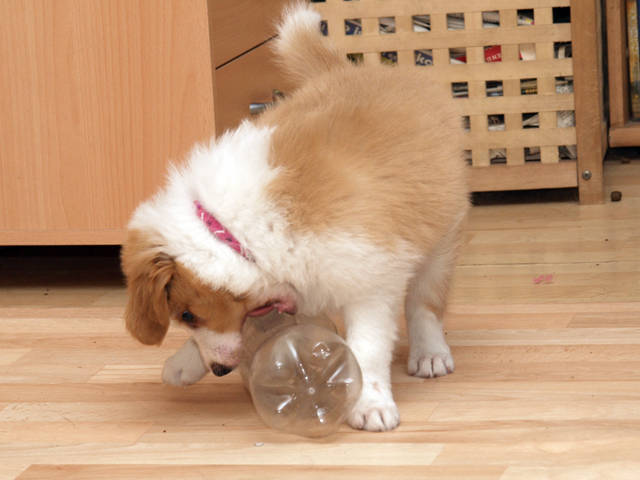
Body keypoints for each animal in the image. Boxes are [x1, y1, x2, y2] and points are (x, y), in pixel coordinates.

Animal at [121, 2, 468, 432]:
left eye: (186, 313)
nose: (219, 370)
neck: (232, 229)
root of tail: (352, 69)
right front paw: (185, 362)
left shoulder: (370, 282)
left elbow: (368, 346)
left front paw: (370, 401)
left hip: (441, 235)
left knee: (425, 301)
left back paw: (429, 352)